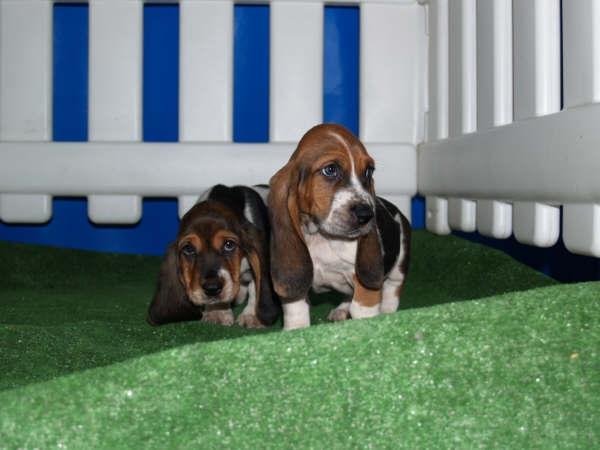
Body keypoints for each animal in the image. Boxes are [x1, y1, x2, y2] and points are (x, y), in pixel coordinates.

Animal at [150, 185, 282, 328]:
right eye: (188, 249)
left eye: (229, 244)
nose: (212, 288)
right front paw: (217, 312)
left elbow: (255, 287)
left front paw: (252, 316)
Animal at [270, 123, 410, 330]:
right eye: (330, 169)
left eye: (369, 171)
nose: (366, 214)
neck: (322, 238)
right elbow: (296, 311)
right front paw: (296, 329)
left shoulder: (364, 283)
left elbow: (362, 308)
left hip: (399, 263)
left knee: (393, 288)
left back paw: (387, 312)